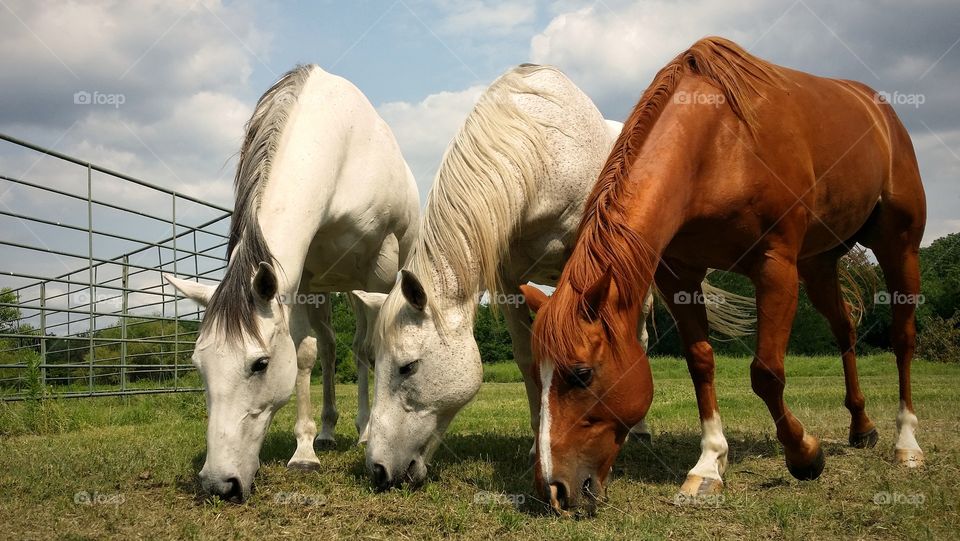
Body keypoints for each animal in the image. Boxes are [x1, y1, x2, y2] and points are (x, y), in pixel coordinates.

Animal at [166, 66, 420, 502]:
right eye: (198, 364)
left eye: (260, 364)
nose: (219, 483)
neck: (341, 149)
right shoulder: (301, 278)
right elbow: (304, 353)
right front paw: (304, 452)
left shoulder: (381, 267)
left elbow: (379, 350)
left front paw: (371, 436)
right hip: (328, 290)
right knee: (332, 348)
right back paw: (330, 431)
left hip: (363, 286)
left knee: (362, 350)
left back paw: (364, 429)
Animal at [356, 64, 752, 490]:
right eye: (374, 361)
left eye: (408, 366)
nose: (378, 470)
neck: (544, 157)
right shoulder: (507, 280)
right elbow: (527, 355)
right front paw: (536, 443)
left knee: (640, 336)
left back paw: (640, 429)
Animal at [520, 38, 928, 516]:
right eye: (537, 374)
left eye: (581, 374)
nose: (553, 490)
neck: (718, 145)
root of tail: (880, 110)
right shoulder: (679, 275)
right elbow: (700, 363)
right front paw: (709, 464)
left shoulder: (774, 265)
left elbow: (766, 373)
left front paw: (804, 454)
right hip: (818, 264)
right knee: (845, 329)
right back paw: (862, 427)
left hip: (899, 246)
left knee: (903, 339)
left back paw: (907, 443)